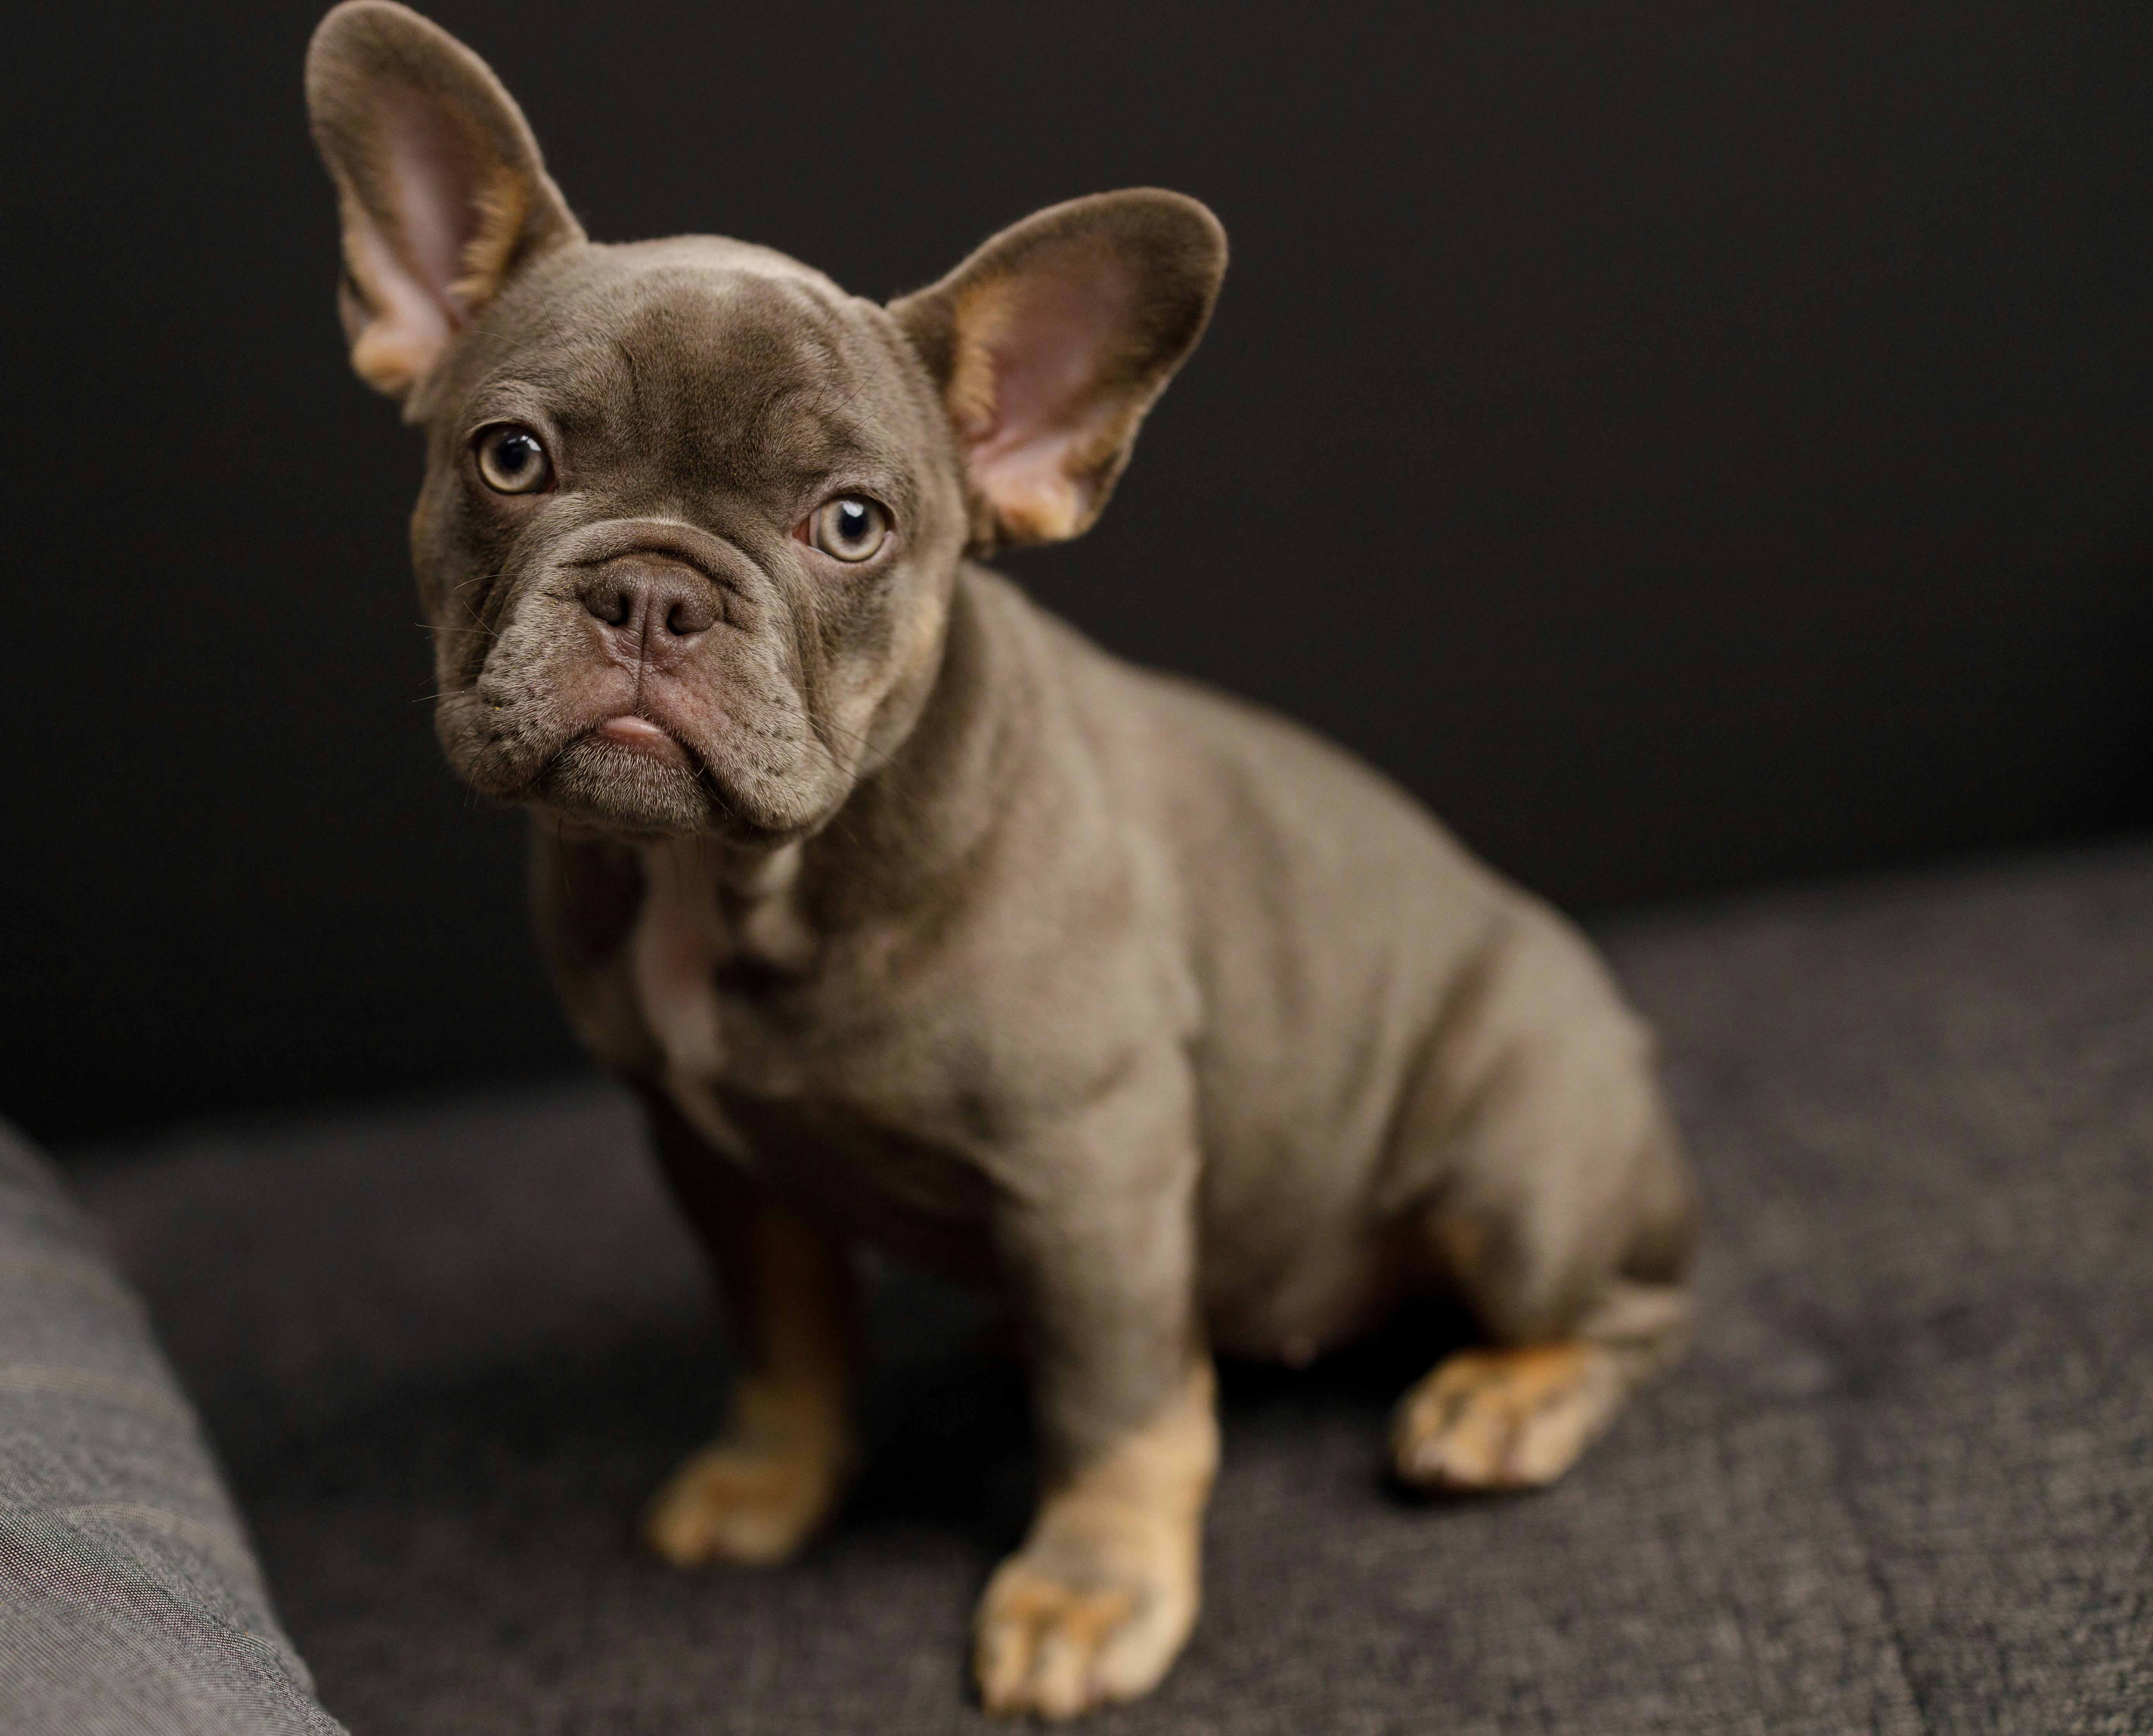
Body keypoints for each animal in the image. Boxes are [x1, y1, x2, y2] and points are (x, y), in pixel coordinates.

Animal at [314, 0, 1697, 1714]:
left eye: (851, 524)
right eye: (509, 457)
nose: (653, 592)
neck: (750, 880)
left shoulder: (1089, 1162)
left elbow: (1118, 1411)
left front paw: (1089, 1588)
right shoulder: (714, 1153)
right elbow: (784, 1334)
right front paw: (771, 1478)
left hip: (1518, 1183)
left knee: (1628, 1308)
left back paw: (1506, 1399)